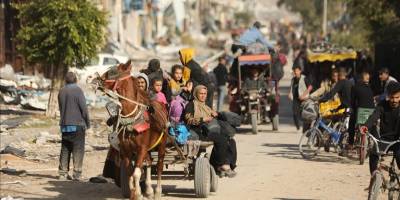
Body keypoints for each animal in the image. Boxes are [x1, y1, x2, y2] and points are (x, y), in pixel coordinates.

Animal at [97, 60, 169, 200]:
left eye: (113, 71)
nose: (98, 79)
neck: (131, 119)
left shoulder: (141, 149)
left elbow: (136, 173)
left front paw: (138, 194)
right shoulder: (126, 150)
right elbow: (130, 172)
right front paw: (134, 194)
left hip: (162, 144)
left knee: (159, 165)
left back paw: (157, 191)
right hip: (148, 148)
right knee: (149, 163)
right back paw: (149, 190)